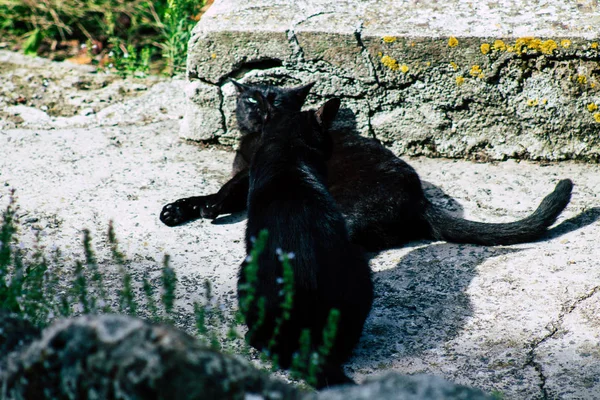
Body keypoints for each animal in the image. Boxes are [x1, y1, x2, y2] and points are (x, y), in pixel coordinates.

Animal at [162, 80, 576, 252]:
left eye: (277, 102)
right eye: (251, 99)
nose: (262, 110)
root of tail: (419, 200)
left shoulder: (249, 175)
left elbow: (225, 190)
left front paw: (207, 207)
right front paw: (178, 210)